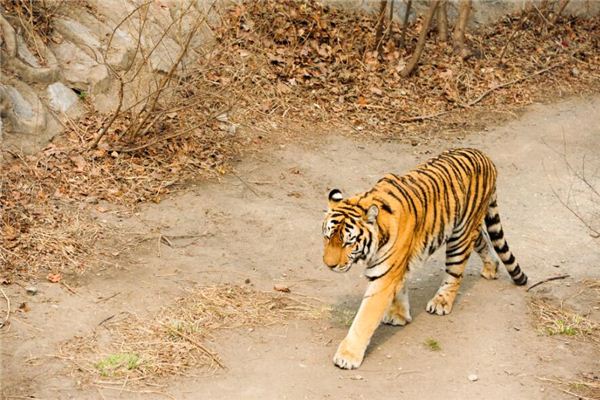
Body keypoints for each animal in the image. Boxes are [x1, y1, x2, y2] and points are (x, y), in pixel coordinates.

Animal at [324, 147, 524, 368]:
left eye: (348, 242)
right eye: (328, 237)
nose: (329, 264)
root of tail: (485, 156)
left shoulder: (385, 276)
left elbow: (365, 318)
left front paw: (347, 356)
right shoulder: (396, 266)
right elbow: (401, 288)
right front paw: (399, 315)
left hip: (460, 237)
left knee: (455, 273)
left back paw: (441, 302)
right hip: (469, 227)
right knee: (484, 240)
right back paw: (491, 268)